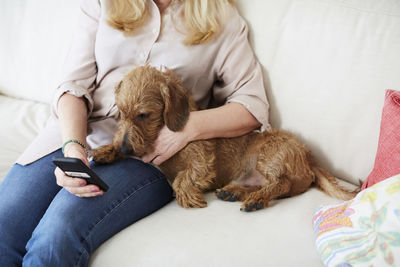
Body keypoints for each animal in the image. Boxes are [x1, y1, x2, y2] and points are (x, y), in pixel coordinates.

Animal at [92, 65, 358, 211]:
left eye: (144, 115)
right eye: (121, 113)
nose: (125, 150)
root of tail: (310, 158)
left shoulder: (201, 162)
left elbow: (183, 178)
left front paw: (186, 196)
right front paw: (105, 151)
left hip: (268, 154)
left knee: (281, 183)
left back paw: (256, 199)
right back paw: (235, 192)